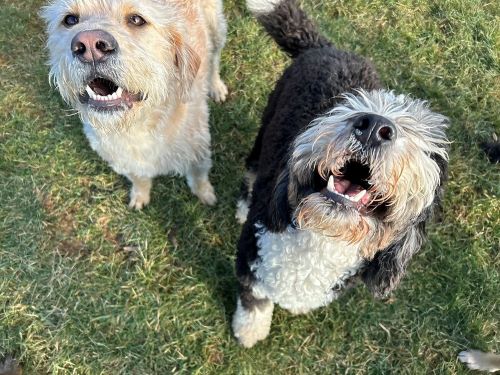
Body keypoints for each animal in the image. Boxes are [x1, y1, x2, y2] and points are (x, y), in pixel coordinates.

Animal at [42, 0, 228, 209]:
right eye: (70, 19)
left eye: (137, 19)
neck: (136, 127)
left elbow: (198, 178)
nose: (89, 45)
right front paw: (140, 196)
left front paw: (206, 194)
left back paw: (216, 86)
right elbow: (139, 179)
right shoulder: (124, 162)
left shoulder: (199, 153)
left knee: (214, 58)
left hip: (217, 29)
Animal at [233, 0, 450, 348]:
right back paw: (243, 205)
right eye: (343, 107)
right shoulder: (252, 257)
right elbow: (254, 299)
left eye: (419, 132)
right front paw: (249, 330)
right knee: (252, 169)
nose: (374, 127)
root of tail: (325, 47)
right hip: (267, 122)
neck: (322, 236)